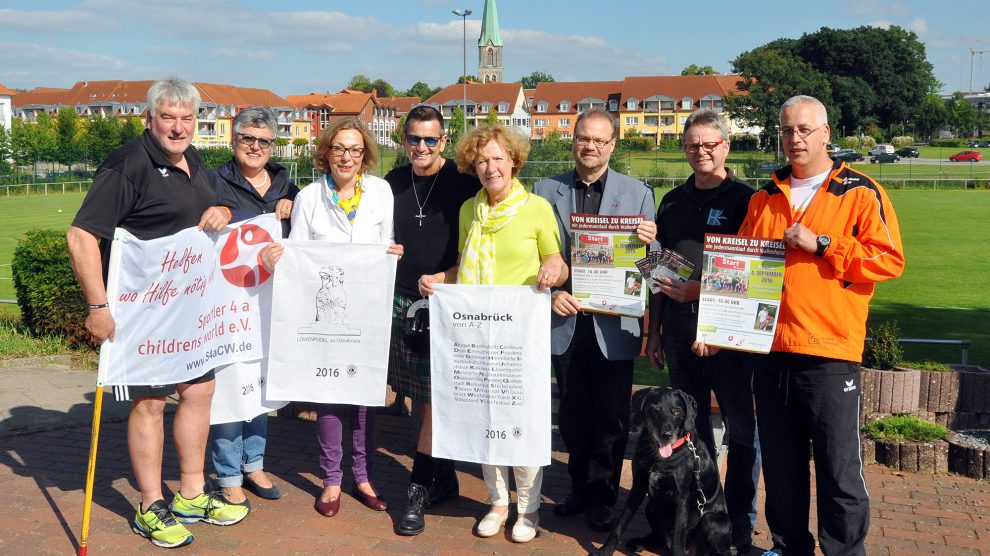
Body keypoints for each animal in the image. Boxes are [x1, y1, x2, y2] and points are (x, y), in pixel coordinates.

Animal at [588, 386, 736, 556]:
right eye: (655, 410)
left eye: (677, 411)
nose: (667, 435)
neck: (661, 457)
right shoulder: (638, 486)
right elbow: (620, 523)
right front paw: (605, 550)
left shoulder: (681, 498)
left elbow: (678, 537)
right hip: (650, 508)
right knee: (660, 537)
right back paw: (640, 542)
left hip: (712, 521)